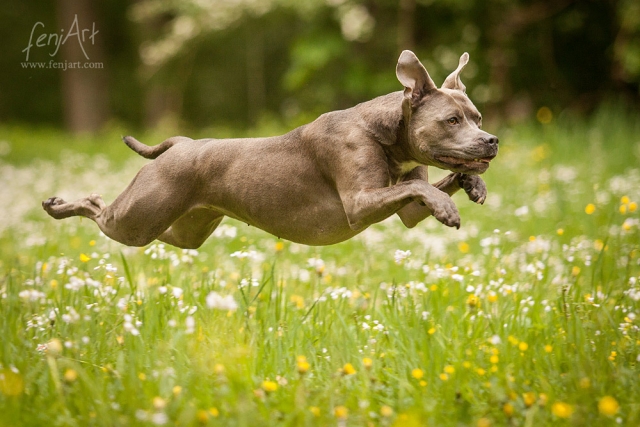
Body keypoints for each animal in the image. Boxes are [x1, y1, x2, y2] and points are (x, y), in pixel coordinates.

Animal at [42, 50, 498, 251]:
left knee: (161, 232)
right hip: (136, 221)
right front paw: (448, 207)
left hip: (184, 228)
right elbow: (422, 189)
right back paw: (59, 205)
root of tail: (183, 144)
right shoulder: (360, 202)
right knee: (97, 206)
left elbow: (426, 187)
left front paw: (471, 184)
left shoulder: (406, 211)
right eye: (452, 121)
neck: (389, 134)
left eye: (477, 116)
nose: (492, 139)